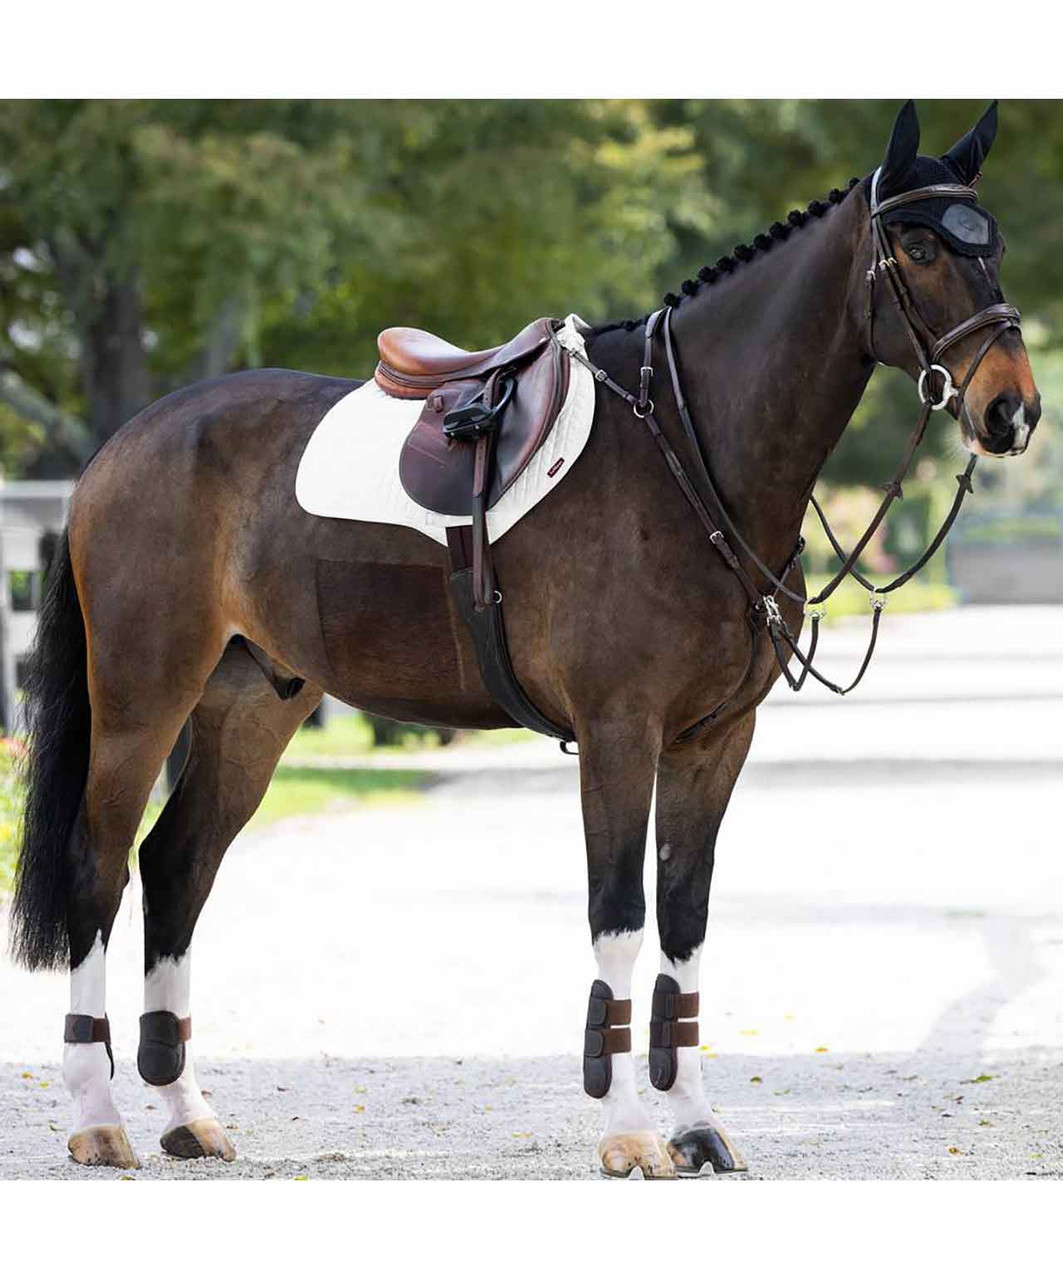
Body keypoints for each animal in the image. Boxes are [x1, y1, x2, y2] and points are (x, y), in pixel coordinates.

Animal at [9, 99, 1040, 1177]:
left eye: (996, 244)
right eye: (917, 246)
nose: (1011, 408)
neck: (685, 452)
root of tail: (121, 447)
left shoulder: (714, 742)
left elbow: (684, 924)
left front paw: (696, 1125)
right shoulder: (618, 731)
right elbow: (619, 918)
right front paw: (629, 1132)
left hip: (252, 705)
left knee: (176, 867)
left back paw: (184, 1112)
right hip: (143, 697)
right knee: (99, 866)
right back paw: (100, 1117)